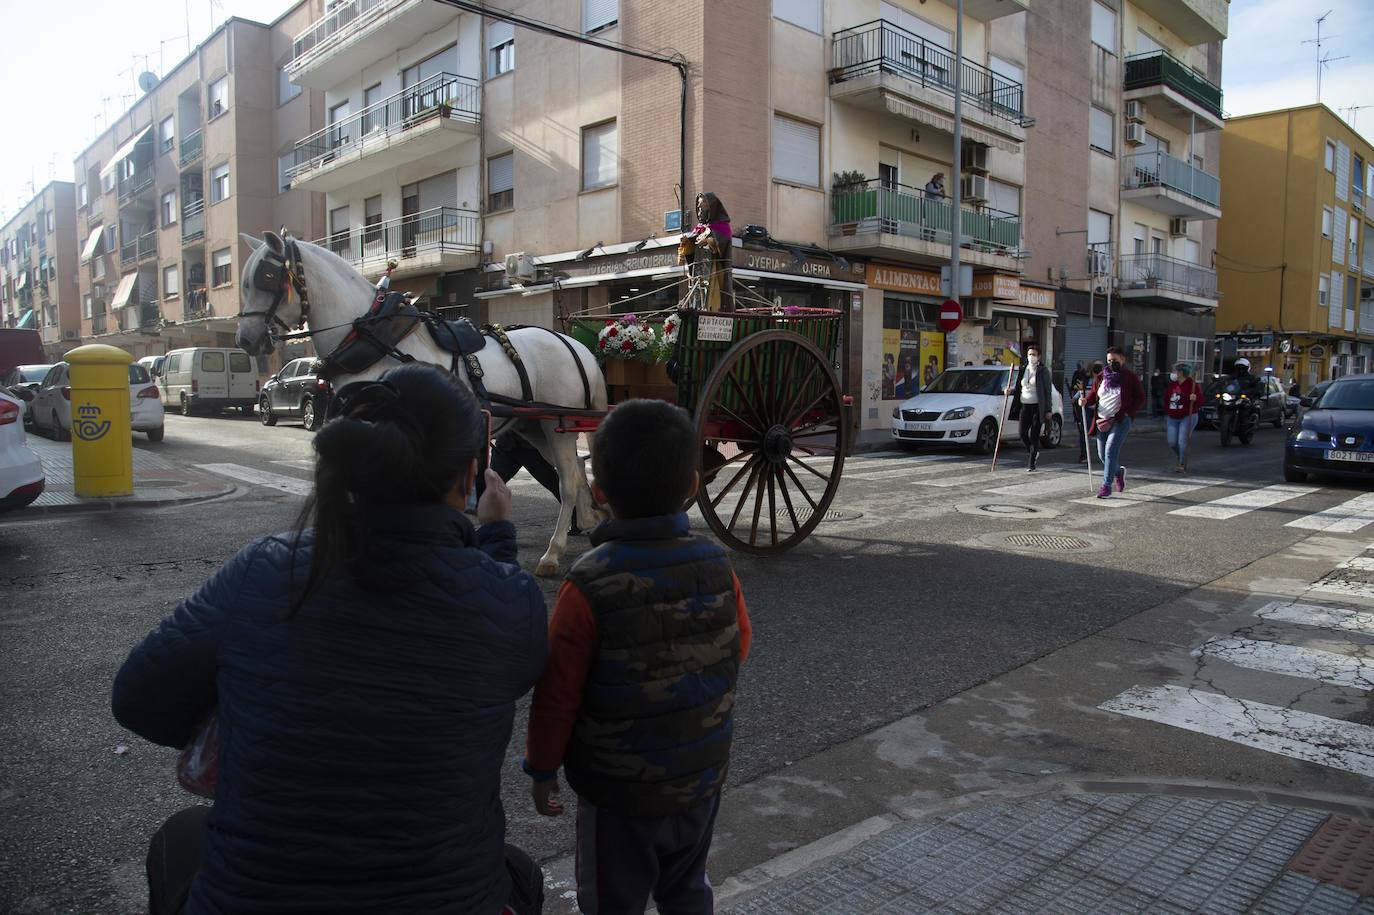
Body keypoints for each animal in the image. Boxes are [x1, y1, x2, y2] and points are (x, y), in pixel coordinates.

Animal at [236, 232, 607, 574]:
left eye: (266, 276)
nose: (245, 339)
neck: (377, 341)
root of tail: (574, 345)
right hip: (534, 426)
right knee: (576, 468)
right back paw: (589, 520)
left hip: (555, 424)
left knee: (567, 481)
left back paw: (553, 552)